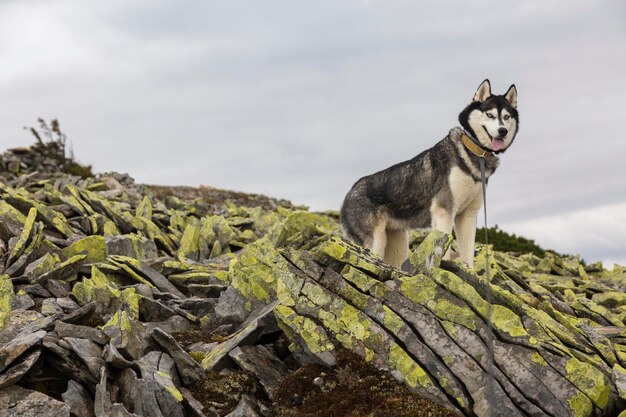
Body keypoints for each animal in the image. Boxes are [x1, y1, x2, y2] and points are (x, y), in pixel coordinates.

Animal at [338, 79, 516, 268]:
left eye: (506, 117)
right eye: (490, 115)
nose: (502, 130)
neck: (474, 153)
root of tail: (349, 194)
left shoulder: (468, 214)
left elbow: (467, 252)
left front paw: (468, 270)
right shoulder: (444, 211)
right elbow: (444, 250)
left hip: (398, 245)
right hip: (376, 243)